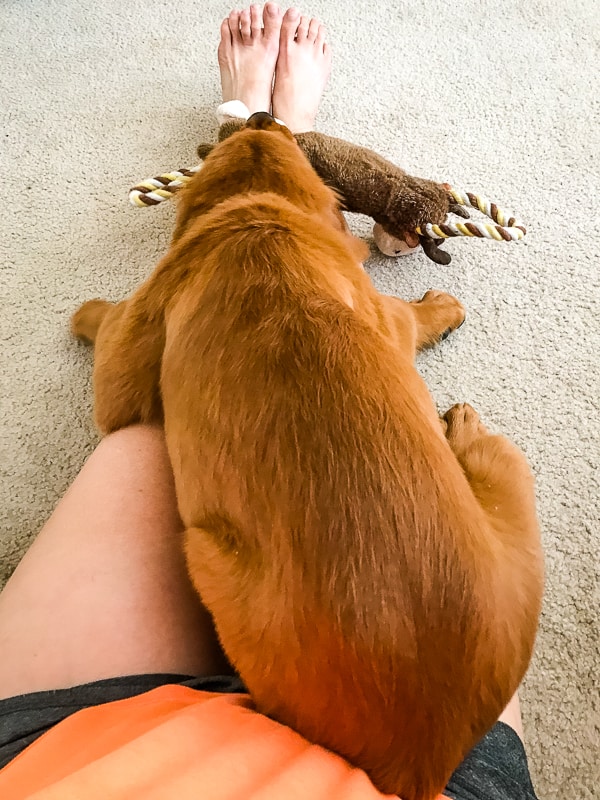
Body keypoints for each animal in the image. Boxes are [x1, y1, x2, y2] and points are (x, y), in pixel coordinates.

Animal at [71, 112, 544, 800]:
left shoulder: (120, 382)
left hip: (202, 552)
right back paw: (462, 425)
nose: (262, 115)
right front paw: (443, 308)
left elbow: (106, 326)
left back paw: (462, 424)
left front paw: (85, 311)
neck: (259, 218)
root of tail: (424, 759)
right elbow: (408, 318)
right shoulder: (383, 316)